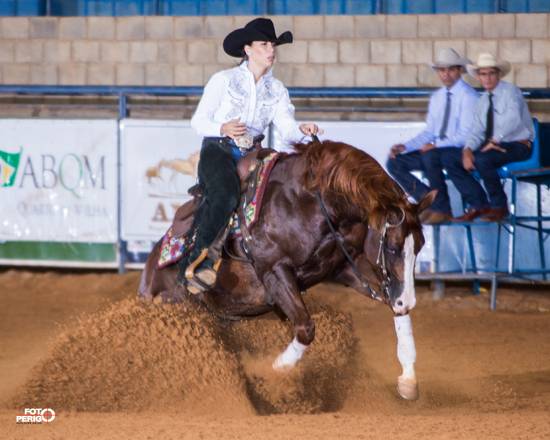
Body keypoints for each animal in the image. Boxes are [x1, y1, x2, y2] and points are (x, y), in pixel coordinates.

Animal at [140, 139, 438, 400]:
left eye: (421, 245)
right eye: (392, 247)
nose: (409, 299)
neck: (311, 204)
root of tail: (148, 273)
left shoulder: (342, 269)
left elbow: (396, 311)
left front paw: (408, 381)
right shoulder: (275, 271)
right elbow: (306, 328)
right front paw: (273, 374)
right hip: (174, 302)